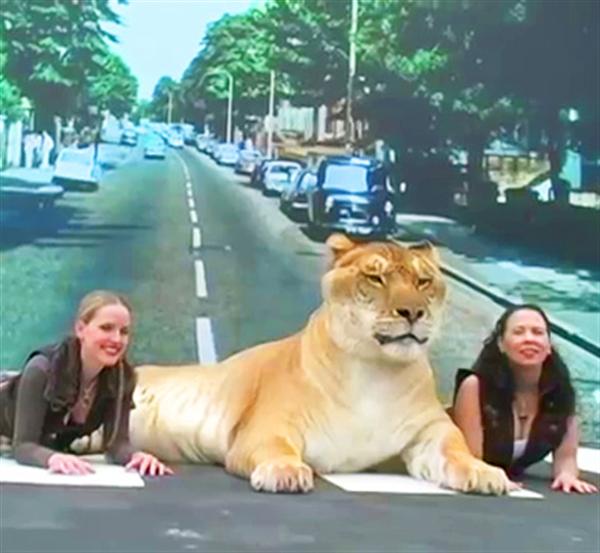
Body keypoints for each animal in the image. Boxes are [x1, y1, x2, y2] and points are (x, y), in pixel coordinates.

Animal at [127, 233, 510, 492]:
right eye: (375, 277)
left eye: (423, 281)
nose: (413, 312)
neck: (376, 372)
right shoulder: (266, 426)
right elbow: (274, 446)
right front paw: (285, 472)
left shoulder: (431, 430)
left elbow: (456, 449)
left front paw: (486, 472)